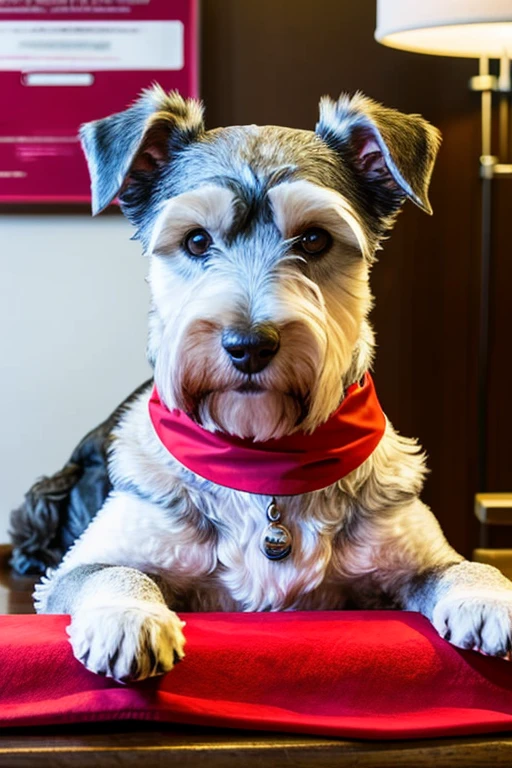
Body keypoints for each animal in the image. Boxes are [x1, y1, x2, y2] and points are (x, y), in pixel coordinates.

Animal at [34, 87, 512, 680]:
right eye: (196, 241)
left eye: (314, 239)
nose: (249, 345)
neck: (264, 462)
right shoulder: (78, 568)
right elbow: (112, 572)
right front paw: (128, 618)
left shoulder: (416, 556)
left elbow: (466, 566)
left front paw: (489, 596)